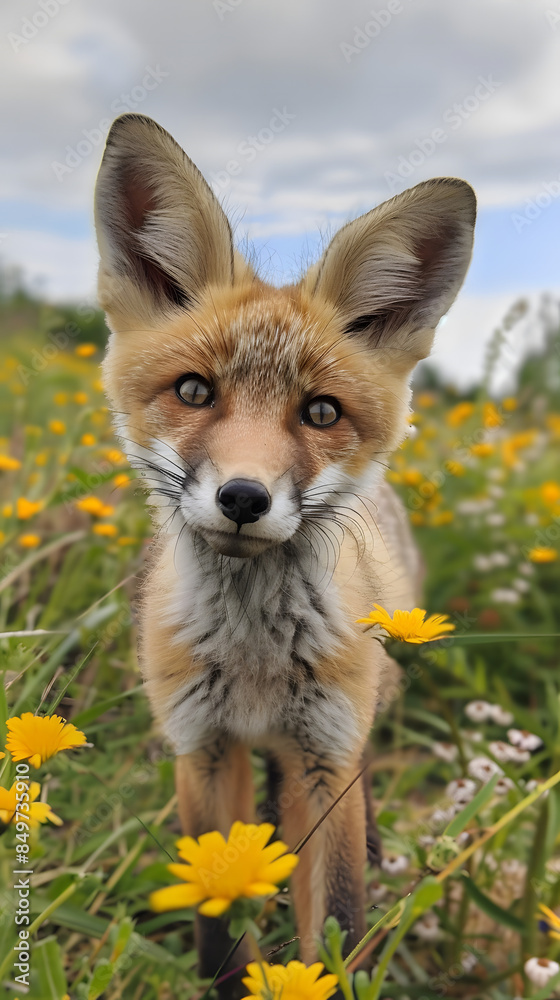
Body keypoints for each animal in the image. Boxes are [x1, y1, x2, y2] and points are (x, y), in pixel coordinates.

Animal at [94, 113, 476, 988]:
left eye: (321, 412)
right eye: (194, 391)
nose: (244, 499)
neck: (255, 664)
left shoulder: (326, 755)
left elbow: (338, 924)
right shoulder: (201, 749)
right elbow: (217, 933)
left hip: (360, 713)